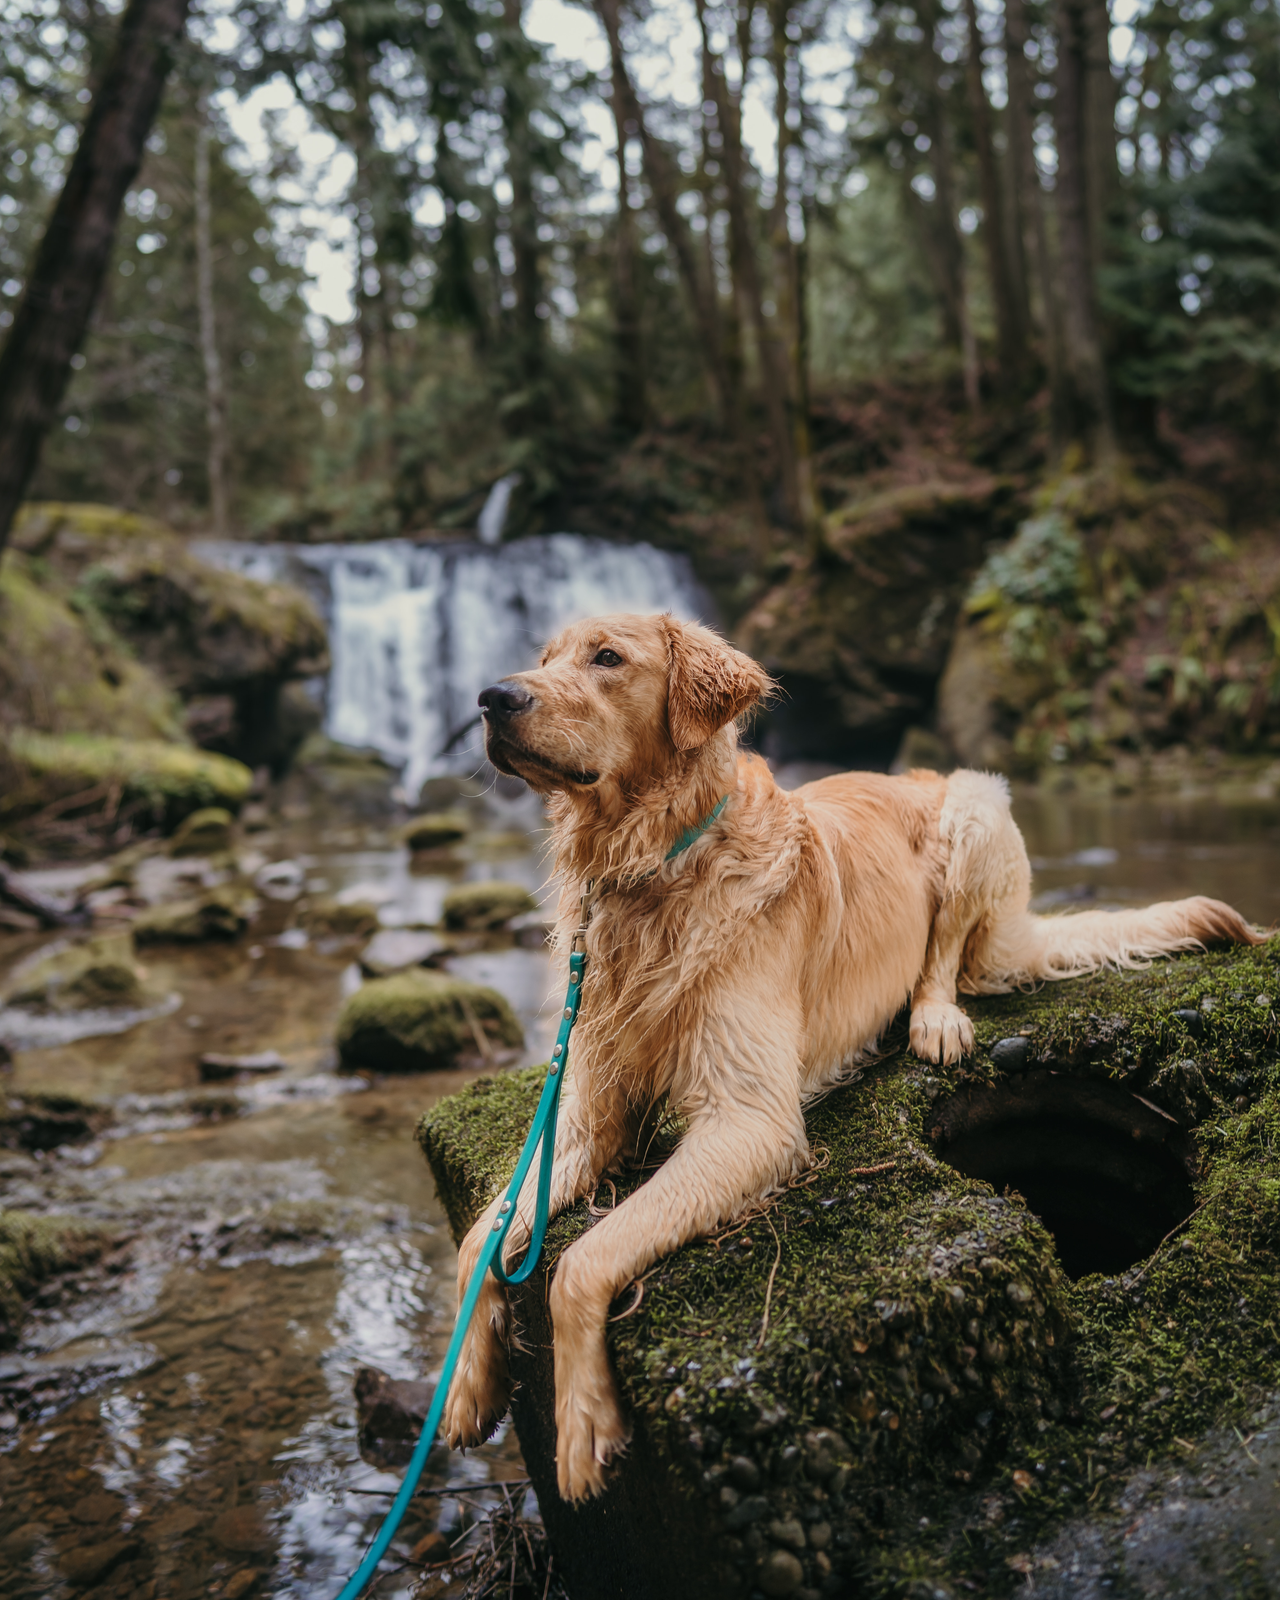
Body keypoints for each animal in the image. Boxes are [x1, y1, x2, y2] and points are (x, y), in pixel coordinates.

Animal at [444, 611, 1267, 1497]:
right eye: (545, 656)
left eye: (607, 658)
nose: (491, 698)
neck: (653, 867)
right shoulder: (588, 1106)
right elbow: (480, 1235)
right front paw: (468, 1388)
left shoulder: (750, 1119)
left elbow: (581, 1259)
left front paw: (582, 1424)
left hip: (977, 809)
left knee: (946, 956)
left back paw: (934, 1020)